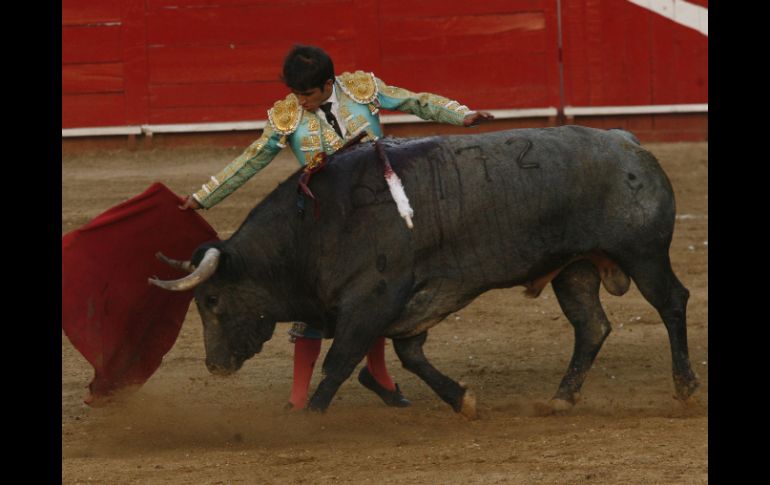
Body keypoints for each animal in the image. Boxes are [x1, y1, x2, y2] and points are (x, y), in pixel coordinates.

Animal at [148, 126, 696, 418]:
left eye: (211, 301)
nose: (214, 365)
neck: (314, 227)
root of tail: (628, 141)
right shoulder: (408, 307)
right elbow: (408, 356)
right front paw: (463, 401)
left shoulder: (371, 301)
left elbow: (340, 362)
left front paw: (311, 417)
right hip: (574, 268)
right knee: (591, 326)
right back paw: (560, 399)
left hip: (643, 254)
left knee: (671, 303)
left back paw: (685, 387)